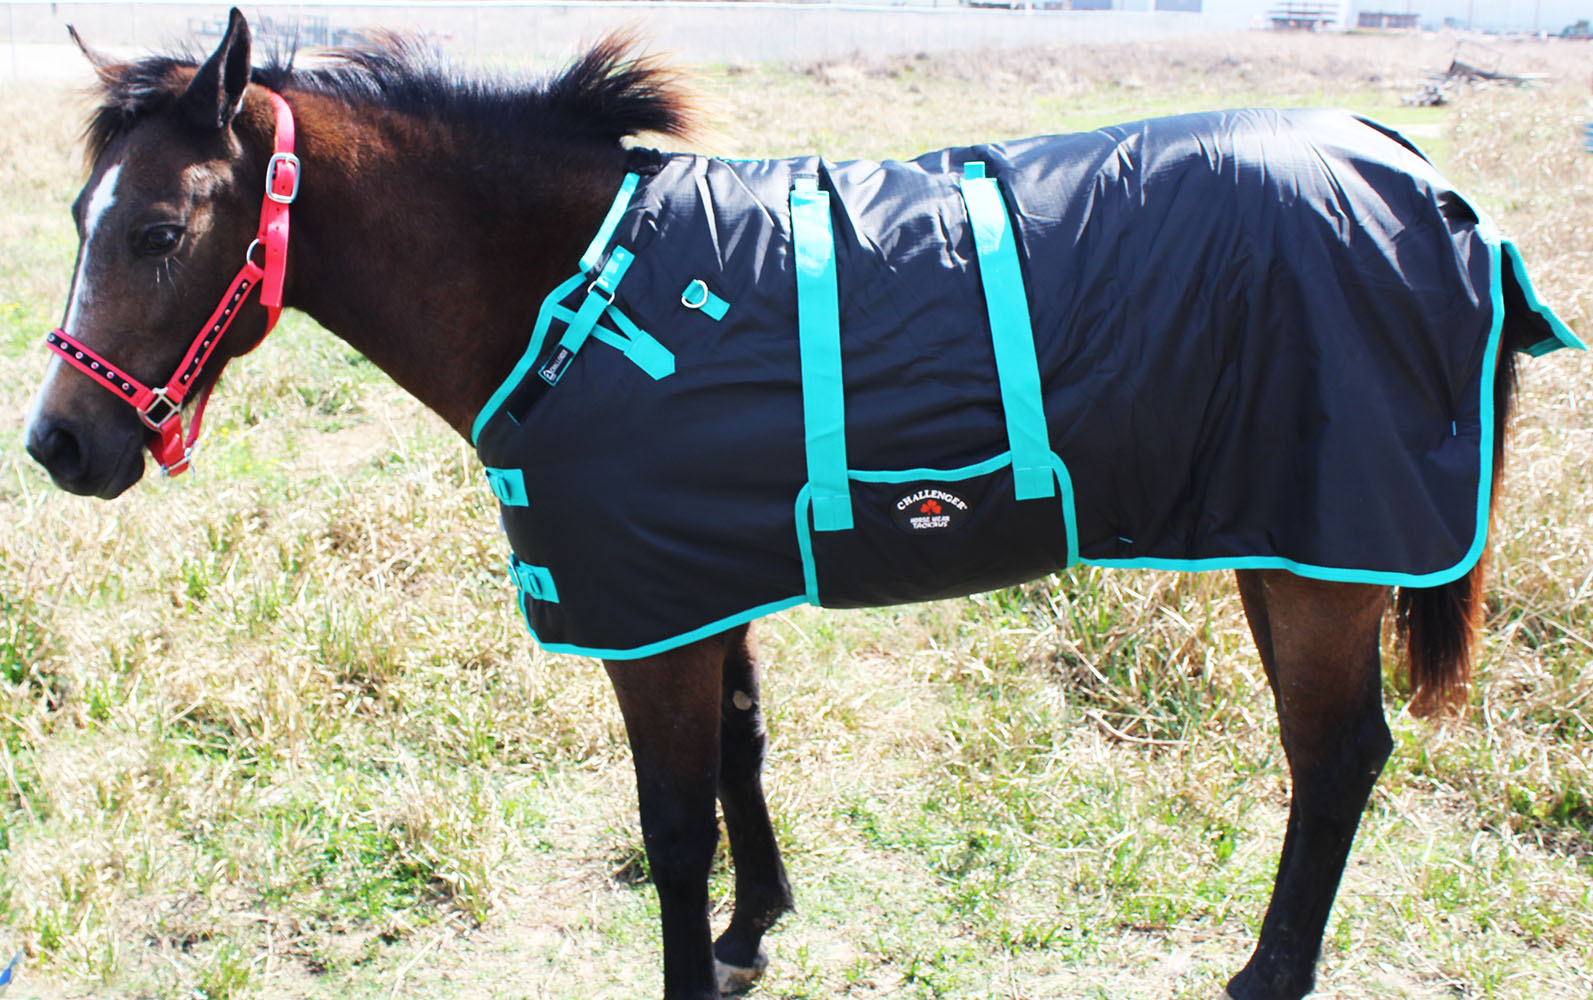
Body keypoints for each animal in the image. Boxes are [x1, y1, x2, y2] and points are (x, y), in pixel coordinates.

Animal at [21, 10, 1583, 1000]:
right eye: (80, 217)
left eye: (156, 230)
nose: (58, 445)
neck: (577, 285)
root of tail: (1435, 189)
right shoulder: (698, 581)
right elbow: (741, 758)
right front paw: (753, 931)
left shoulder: (646, 619)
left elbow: (671, 821)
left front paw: (699, 959)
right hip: (1288, 547)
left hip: (1321, 561)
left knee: (1335, 759)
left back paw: (1266, 976)